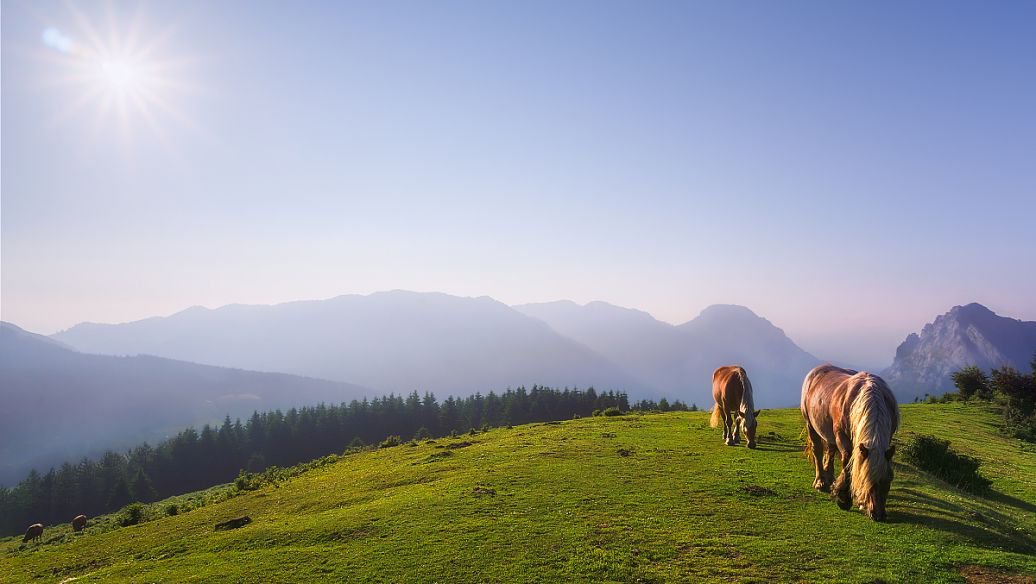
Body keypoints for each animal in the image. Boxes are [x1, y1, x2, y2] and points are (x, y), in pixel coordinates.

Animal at [799, 364, 899, 519]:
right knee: (818, 451)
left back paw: (830, 480)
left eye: (889, 479)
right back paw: (820, 482)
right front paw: (843, 499)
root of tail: (818, 370)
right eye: (865, 479)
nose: (878, 515)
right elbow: (847, 462)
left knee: (830, 451)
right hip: (811, 426)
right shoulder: (842, 438)